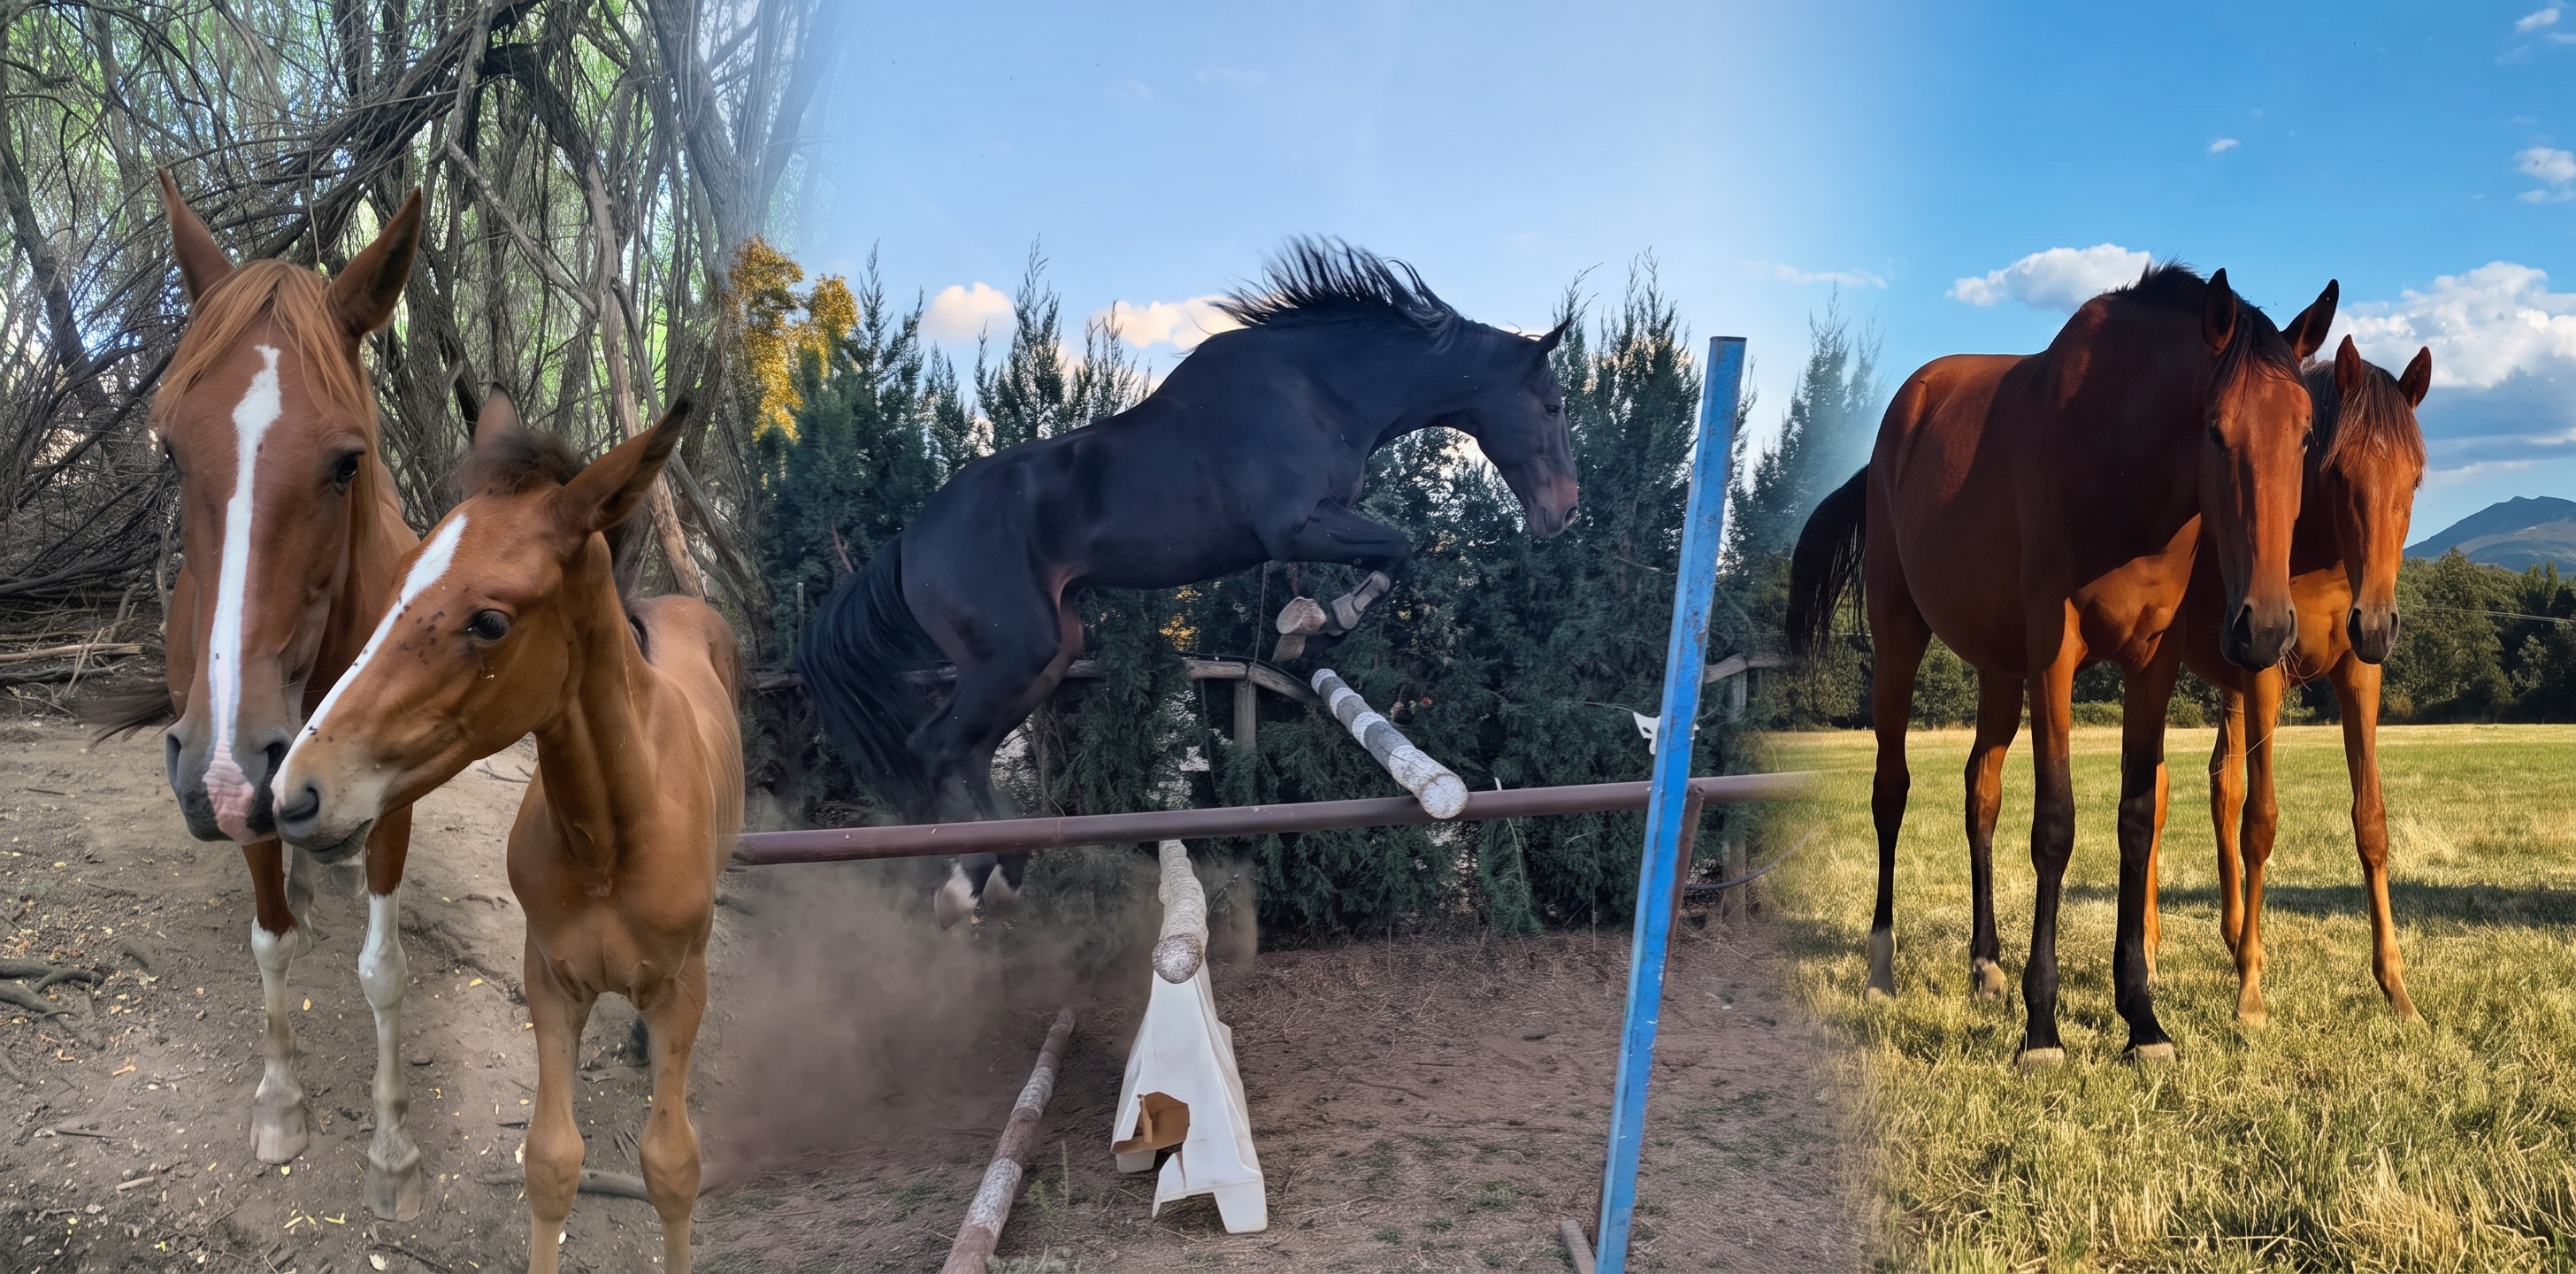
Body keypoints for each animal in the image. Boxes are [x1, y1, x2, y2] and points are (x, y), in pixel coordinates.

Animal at [111, 172, 432, 1217]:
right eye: (172, 452)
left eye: (347, 460)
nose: (221, 762)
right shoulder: (237, 787)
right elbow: (270, 946)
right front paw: (281, 1104)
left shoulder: (390, 795)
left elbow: (383, 972)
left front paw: (391, 1150)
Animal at [272, 393, 741, 1274]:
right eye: (394, 587)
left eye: (490, 621)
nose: (294, 793)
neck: (608, 843)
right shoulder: (550, 980)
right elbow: (552, 1161)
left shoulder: (682, 991)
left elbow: (673, 1167)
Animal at [798, 240, 1579, 924]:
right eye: (1553, 406)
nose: (1564, 512)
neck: (1321, 389)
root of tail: (908, 542)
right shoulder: (1296, 526)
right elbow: (1398, 547)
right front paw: (1322, 620)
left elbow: (1393, 552)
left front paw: (1304, 624)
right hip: (1014, 655)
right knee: (936, 746)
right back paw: (965, 883)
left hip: (1042, 658)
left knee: (969, 752)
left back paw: (1001, 876)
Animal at [1786, 264, 2337, 1064]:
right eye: (2215, 429)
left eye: (2303, 435)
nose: (2264, 627)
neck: (2119, 469)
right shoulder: (2054, 654)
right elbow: (2055, 826)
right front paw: (2042, 1027)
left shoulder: (2150, 665)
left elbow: (2135, 822)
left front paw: (2142, 1018)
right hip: (1900, 638)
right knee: (1891, 792)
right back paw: (1881, 969)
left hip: (1997, 669)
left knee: (1980, 792)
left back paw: (1985, 964)